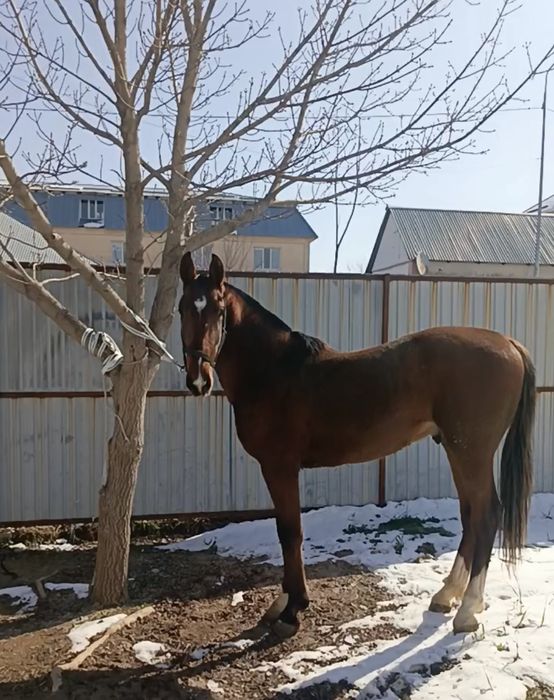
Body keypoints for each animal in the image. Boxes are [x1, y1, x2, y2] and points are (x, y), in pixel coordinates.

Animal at [177, 252, 535, 638]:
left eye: (217, 309)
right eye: (182, 308)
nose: (198, 380)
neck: (273, 371)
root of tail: (508, 343)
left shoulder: (280, 467)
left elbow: (290, 533)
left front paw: (292, 610)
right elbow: (286, 531)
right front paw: (282, 604)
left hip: (471, 452)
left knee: (486, 515)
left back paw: (467, 609)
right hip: (458, 451)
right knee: (471, 515)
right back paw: (447, 595)